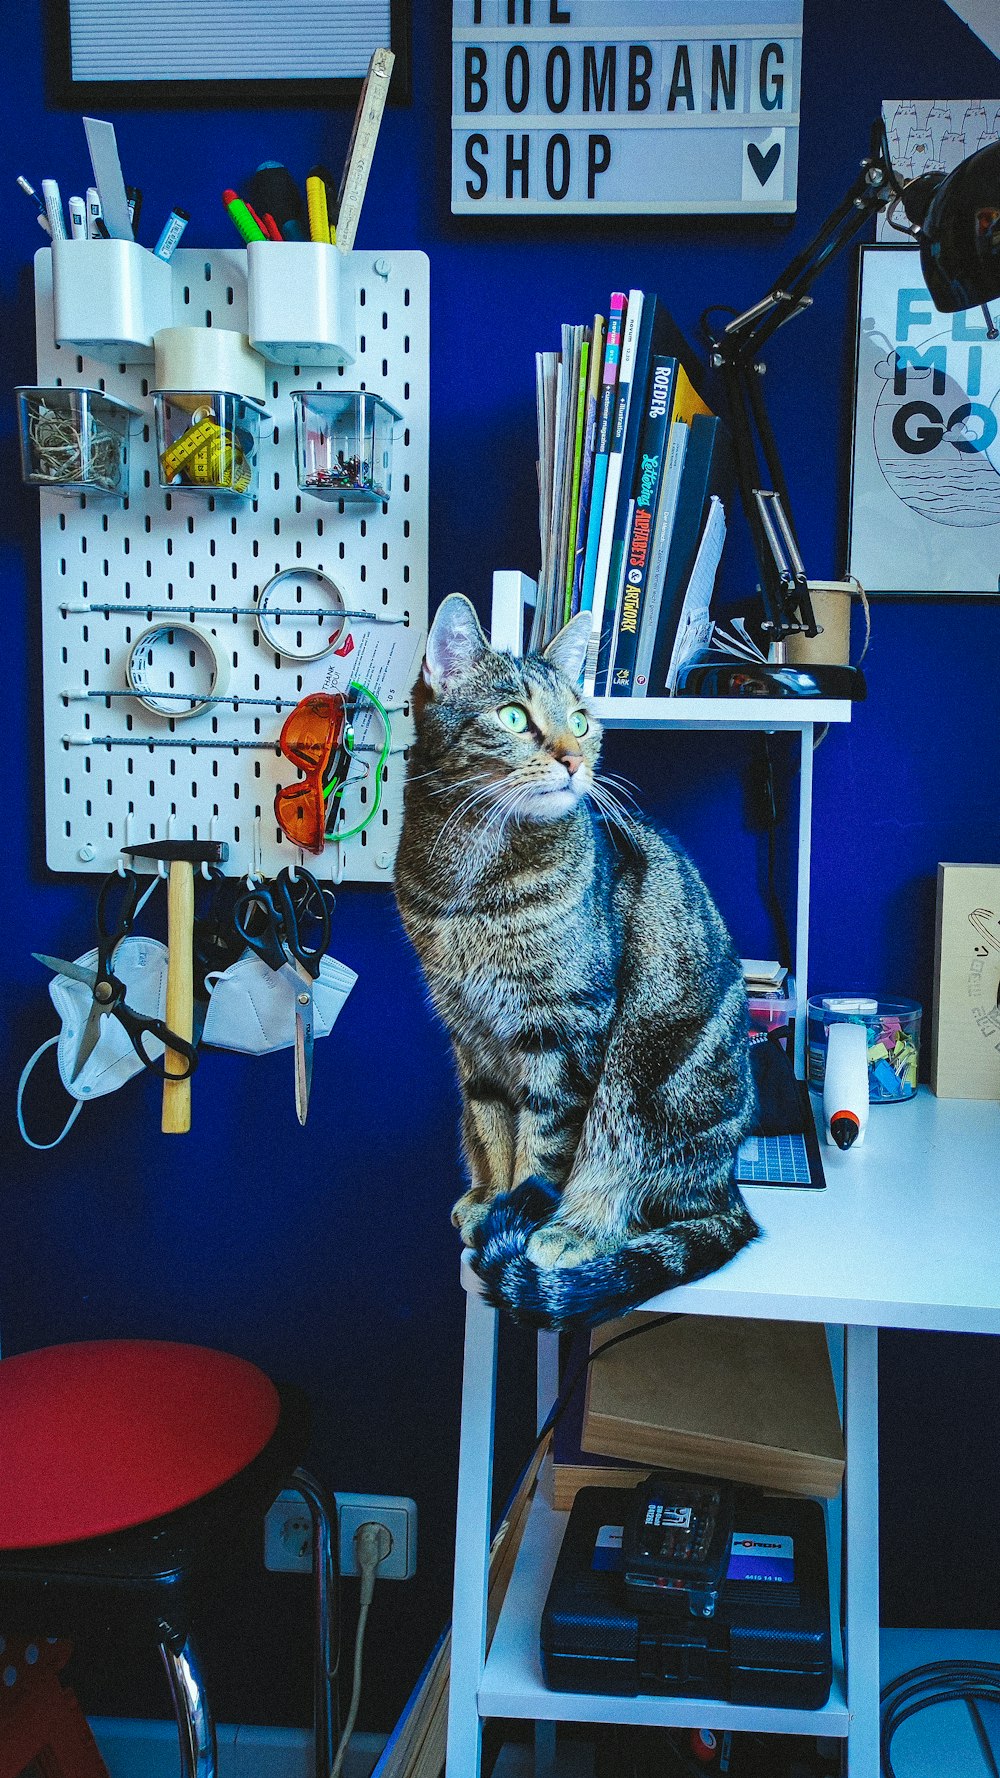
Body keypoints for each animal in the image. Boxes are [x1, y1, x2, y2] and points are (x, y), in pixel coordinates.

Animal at [393, 590, 750, 1329]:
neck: (470, 886)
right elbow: (492, 1125)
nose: (573, 759)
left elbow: (543, 1143)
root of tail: (732, 1187)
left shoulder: (562, 1029)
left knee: (643, 1195)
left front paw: (522, 1217)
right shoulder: (471, 1031)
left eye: (582, 721)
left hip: (640, 1088)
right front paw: (489, 1200)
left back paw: (574, 1229)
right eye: (513, 716)